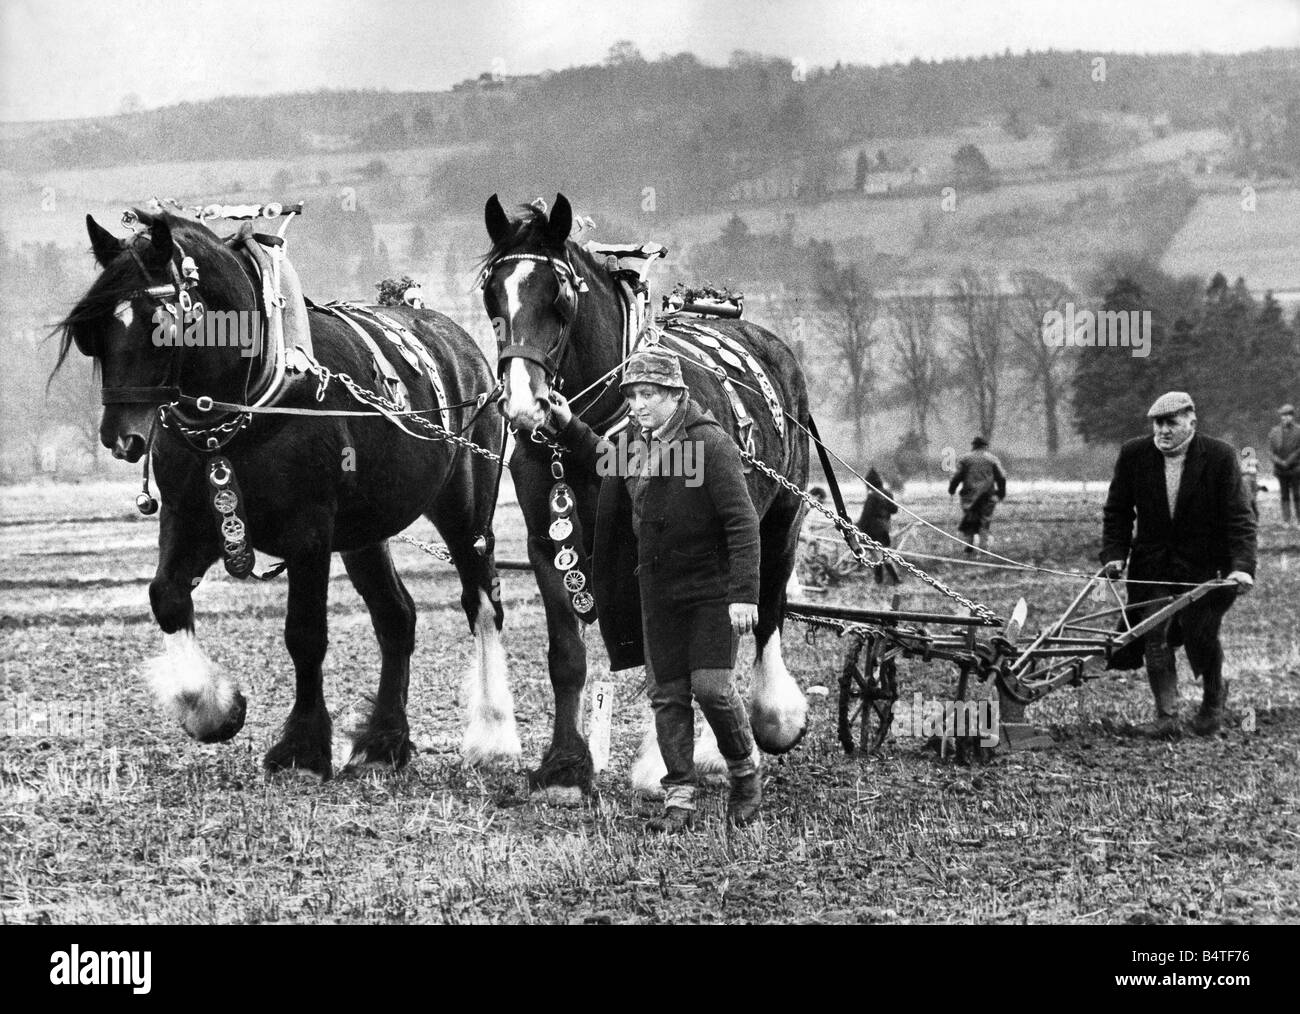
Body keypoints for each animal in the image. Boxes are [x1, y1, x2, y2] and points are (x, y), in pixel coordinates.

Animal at [54, 208, 518, 779]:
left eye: (159, 325)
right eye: (92, 334)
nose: (120, 438)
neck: (246, 403)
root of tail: (457, 340)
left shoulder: (309, 533)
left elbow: (305, 634)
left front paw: (300, 747)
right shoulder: (192, 520)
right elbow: (167, 597)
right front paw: (215, 711)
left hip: (466, 512)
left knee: (482, 603)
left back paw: (493, 734)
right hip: (365, 532)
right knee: (396, 616)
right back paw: (384, 742)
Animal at [479, 193, 809, 795]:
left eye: (560, 298)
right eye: (493, 295)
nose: (524, 404)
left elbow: (675, 654)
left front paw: (662, 763)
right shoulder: (545, 542)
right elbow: (567, 655)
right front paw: (565, 765)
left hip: (779, 518)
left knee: (763, 609)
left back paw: (764, 722)